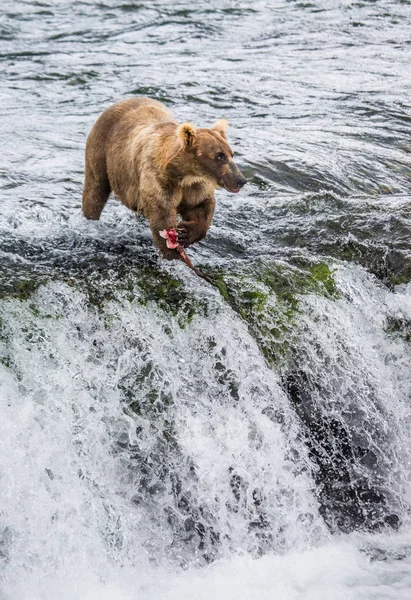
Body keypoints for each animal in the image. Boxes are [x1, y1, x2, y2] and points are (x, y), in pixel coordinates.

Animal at [82, 97, 246, 258]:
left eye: (231, 154)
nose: (241, 180)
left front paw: (186, 233)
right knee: (95, 191)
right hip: (101, 151)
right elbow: (162, 217)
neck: (183, 173)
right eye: (219, 156)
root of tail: (122, 101)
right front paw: (174, 251)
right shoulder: (160, 180)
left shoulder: (195, 185)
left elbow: (201, 206)